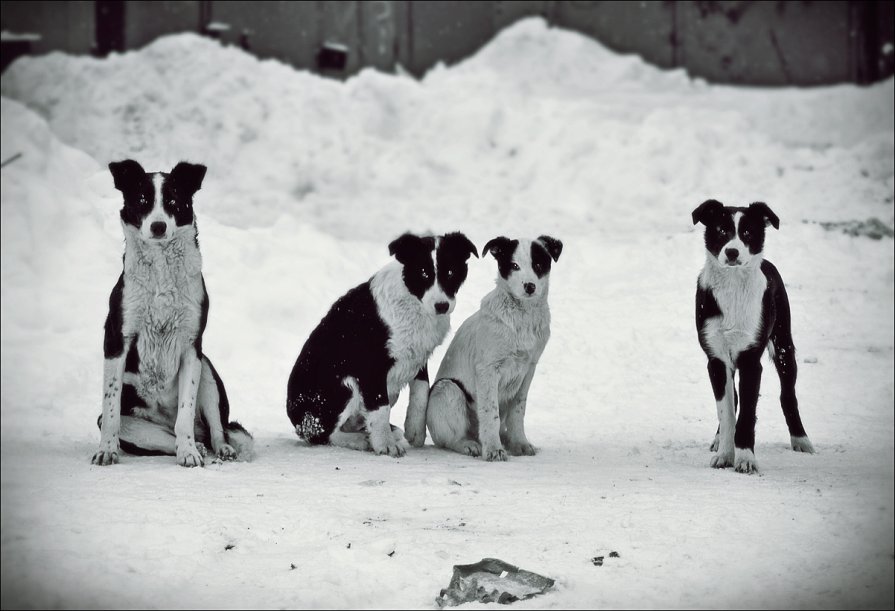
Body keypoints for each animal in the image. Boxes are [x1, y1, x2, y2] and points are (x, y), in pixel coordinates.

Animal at [93, 159, 252, 468]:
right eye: (142, 200)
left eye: (173, 202)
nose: (158, 226)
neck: (161, 275)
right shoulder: (116, 340)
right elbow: (111, 409)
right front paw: (106, 450)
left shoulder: (191, 346)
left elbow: (185, 414)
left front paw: (188, 452)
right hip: (139, 423)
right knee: (161, 439)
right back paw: (193, 447)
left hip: (208, 370)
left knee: (214, 431)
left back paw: (215, 448)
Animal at [290, 232, 480, 456]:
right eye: (423, 273)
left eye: (450, 272)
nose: (441, 306)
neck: (413, 301)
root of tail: (295, 419)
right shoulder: (371, 367)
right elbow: (381, 407)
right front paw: (385, 445)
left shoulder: (418, 355)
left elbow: (421, 392)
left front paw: (414, 430)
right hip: (344, 385)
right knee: (323, 434)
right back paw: (360, 440)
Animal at [426, 237, 560, 462]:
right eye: (514, 265)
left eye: (538, 265)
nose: (530, 286)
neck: (522, 319)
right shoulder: (488, 369)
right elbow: (490, 413)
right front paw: (493, 450)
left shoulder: (528, 369)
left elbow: (518, 411)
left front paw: (520, 444)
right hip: (448, 389)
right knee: (449, 439)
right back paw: (470, 445)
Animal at [696, 201, 816, 474]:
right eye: (721, 230)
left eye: (748, 233)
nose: (732, 252)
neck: (732, 289)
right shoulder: (716, 359)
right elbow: (727, 412)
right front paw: (725, 454)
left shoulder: (751, 359)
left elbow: (748, 413)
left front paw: (745, 459)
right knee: (732, 399)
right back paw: (719, 440)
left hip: (783, 345)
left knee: (788, 395)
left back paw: (801, 440)